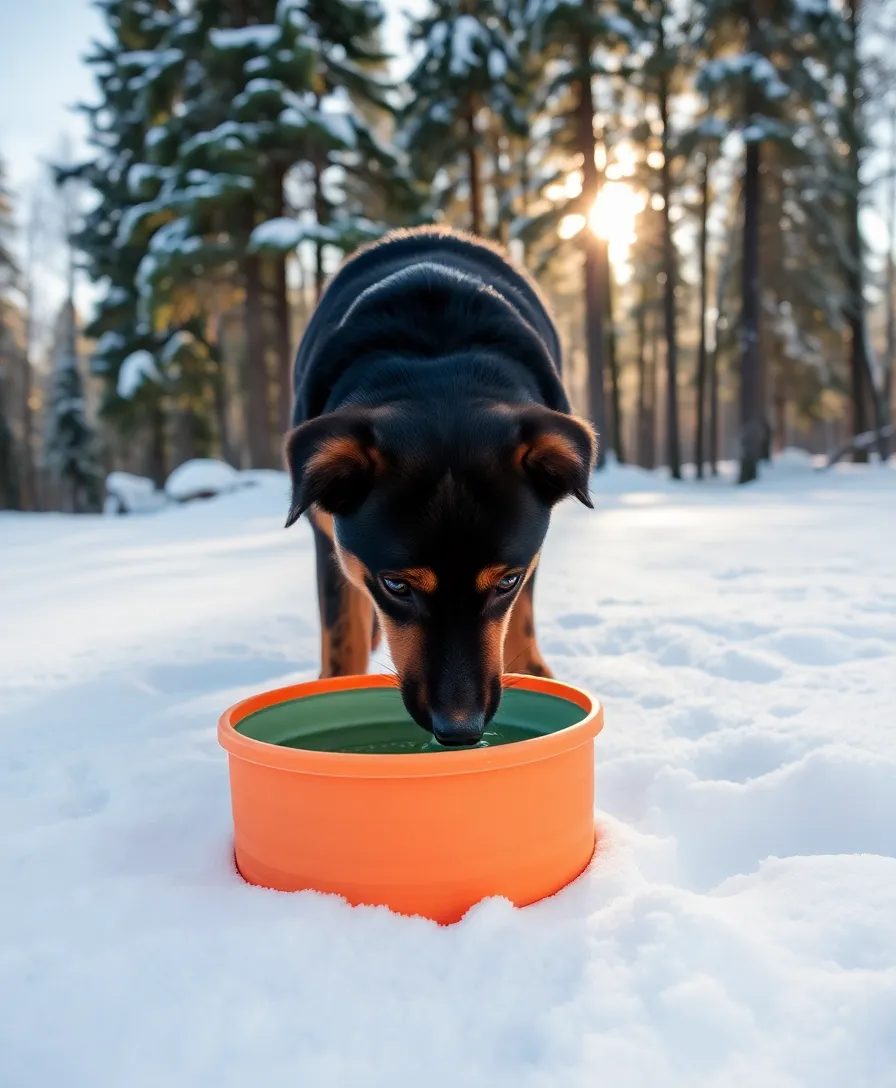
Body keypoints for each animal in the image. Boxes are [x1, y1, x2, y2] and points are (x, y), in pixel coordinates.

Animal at [284, 225, 595, 744]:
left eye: (506, 581)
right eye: (395, 585)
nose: (460, 730)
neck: (436, 364)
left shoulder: (525, 567)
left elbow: (518, 626)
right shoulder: (328, 540)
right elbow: (343, 644)